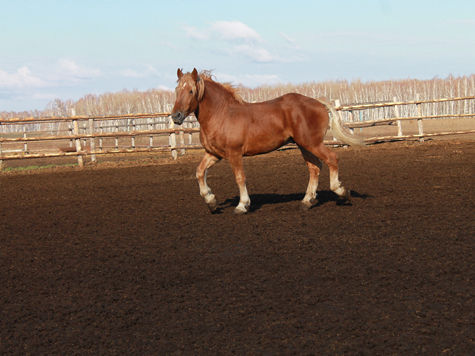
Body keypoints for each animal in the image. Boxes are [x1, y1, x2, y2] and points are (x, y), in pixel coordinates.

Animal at [171, 69, 364, 214]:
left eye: (191, 91)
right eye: (177, 90)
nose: (176, 116)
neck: (222, 115)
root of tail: (318, 103)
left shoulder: (234, 154)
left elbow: (240, 178)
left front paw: (242, 205)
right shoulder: (214, 154)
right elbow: (199, 172)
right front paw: (211, 201)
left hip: (312, 143)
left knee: (331, 159)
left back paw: (341, 192)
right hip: (304, 145)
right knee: (314, 168)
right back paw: (307, 201)